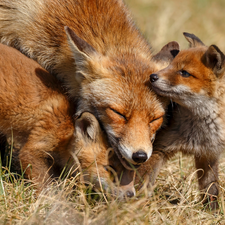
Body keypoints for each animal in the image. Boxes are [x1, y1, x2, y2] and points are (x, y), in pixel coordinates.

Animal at [0, 42, 135, 197]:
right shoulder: (34, 149)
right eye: (110, 168)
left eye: (131, 172)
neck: (68, 129)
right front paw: (54, 201)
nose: (131, 194)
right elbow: (46, 186)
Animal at [147, 33, 225, 209]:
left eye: (184, 73)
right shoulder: (158, 147)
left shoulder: (208, 154)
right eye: (170, 65)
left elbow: (211, 188)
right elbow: (142, 180)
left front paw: (211, 211)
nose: (152, 76)